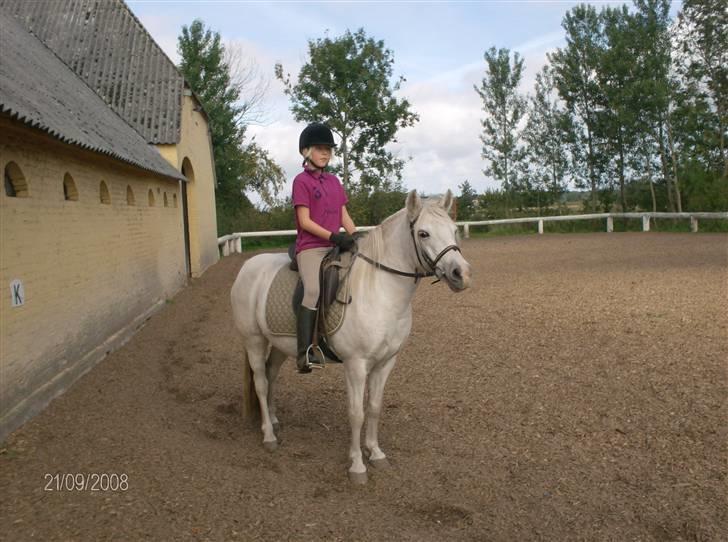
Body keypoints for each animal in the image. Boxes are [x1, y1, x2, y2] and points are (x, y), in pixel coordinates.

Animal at [230, 189, 472, 484]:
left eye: (454, 230)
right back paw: (268, 435)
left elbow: (375, 407)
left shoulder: (386, 362)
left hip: (279, 344)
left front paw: (376, 453)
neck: (380, 289)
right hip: (254, 340)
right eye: (423, 233)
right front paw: (357, 465)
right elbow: (356, 413)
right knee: (261, 382)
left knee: (270, 375)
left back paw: (275, 421)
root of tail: (247, 266)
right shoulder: (356, 365)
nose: (461, 274)